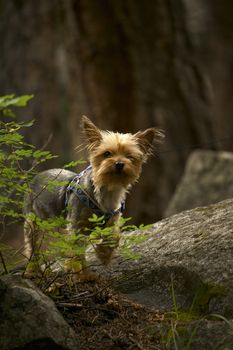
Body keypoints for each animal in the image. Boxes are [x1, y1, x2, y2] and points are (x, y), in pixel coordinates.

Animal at [22, 116, 163, 280]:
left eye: (129, 156)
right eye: (107, 154)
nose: (119, 163)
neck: (108, 189)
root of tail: (37, 175)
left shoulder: (112, 220)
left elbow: (114, 237)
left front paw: (104, 254)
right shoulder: (76, 225)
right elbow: (77, 252)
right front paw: (82, 276)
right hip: (34, 221)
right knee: (33, 246)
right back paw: (33, 271)